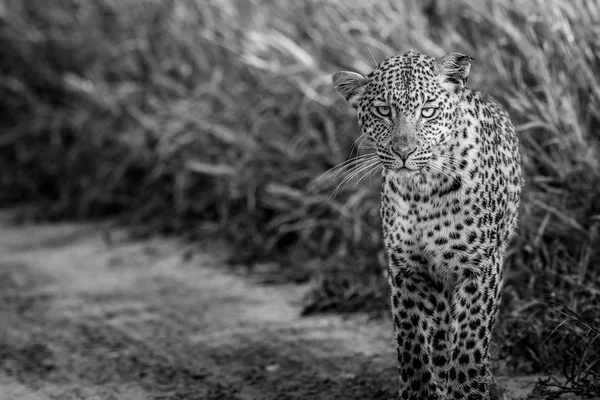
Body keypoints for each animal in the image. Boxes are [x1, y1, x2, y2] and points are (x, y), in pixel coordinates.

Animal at [330, 50, 524, 400]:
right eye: (383, 110)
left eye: (428, 111)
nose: (404, 152)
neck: (422, 190)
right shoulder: (406, 269)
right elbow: (411, 341)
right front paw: (420, 391)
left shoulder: (480, 268)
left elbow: (470, 337)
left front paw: (468, 390)